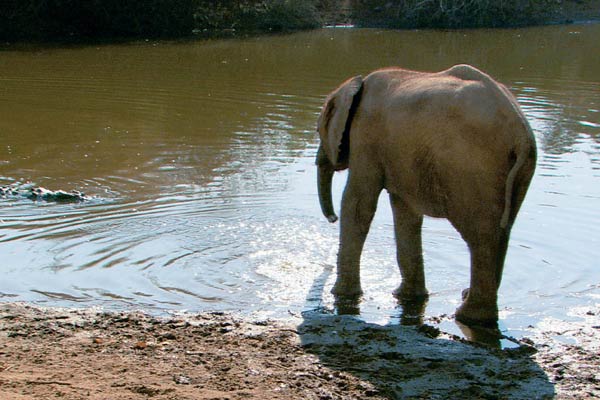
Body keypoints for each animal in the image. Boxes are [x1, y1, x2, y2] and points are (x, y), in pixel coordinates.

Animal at [316, 65, 536, 328]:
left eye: (318, 130)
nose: (332, 219)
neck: (356, 84)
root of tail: (521, 132)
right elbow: (405, 212)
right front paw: (405, 297)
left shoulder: (365, 136)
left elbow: (358, 204)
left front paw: (342, 295)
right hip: (518, 171)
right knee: (503, 229)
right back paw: (468, 302)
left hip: (472, 167)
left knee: (482, 237)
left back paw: (468, 316)